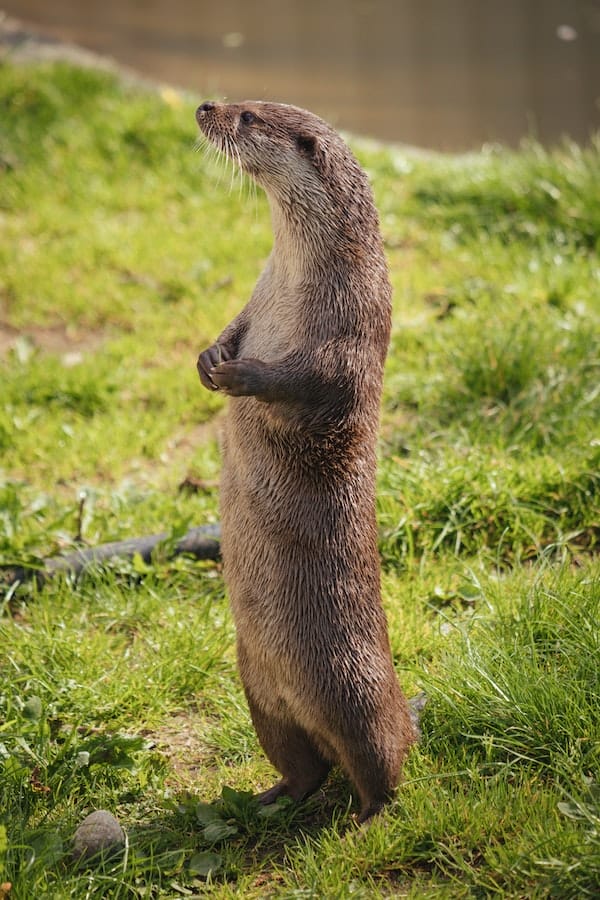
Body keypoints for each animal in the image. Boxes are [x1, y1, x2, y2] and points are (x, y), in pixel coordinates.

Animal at [195, 100, 416, 823]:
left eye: (245, 115)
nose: (205, 106)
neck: (294, 280)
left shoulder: (353, 328)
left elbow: (317, 382)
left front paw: (242, 375)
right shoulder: (255, 294)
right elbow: (232, 325)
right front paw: (211, 358)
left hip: (354, 692)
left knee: (381, 766)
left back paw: (368, 821)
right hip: (255, 690)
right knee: (305, 767)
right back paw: (267, 798)